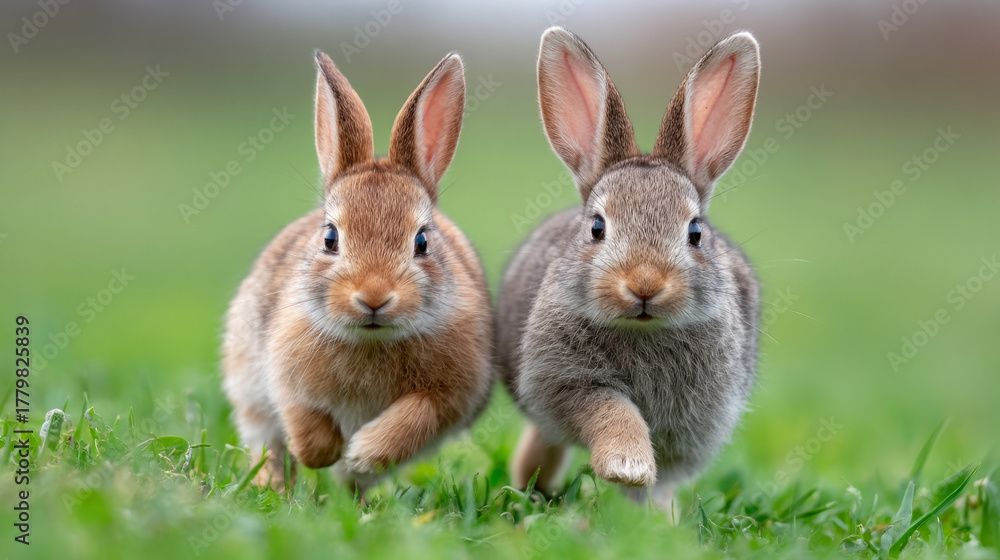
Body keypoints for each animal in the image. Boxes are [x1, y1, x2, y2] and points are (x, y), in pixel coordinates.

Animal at [222, 50, 494, 491]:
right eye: (330, 237)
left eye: (422, 242)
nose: (373, 297)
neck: (372, 339)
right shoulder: (283, 373)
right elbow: (299, 415)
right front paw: (323, 452)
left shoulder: (453, 393)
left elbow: (418, 415)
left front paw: (363, 451)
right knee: (268, 449)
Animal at [497, 27, 761, 511]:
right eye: (597, 227)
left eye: (695, 232)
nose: (644, 285)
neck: (643, 328)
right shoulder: (567, 383)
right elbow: (611, 410)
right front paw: (628, 465)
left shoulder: (693, 423)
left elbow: (664, 477)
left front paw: (652, 513)